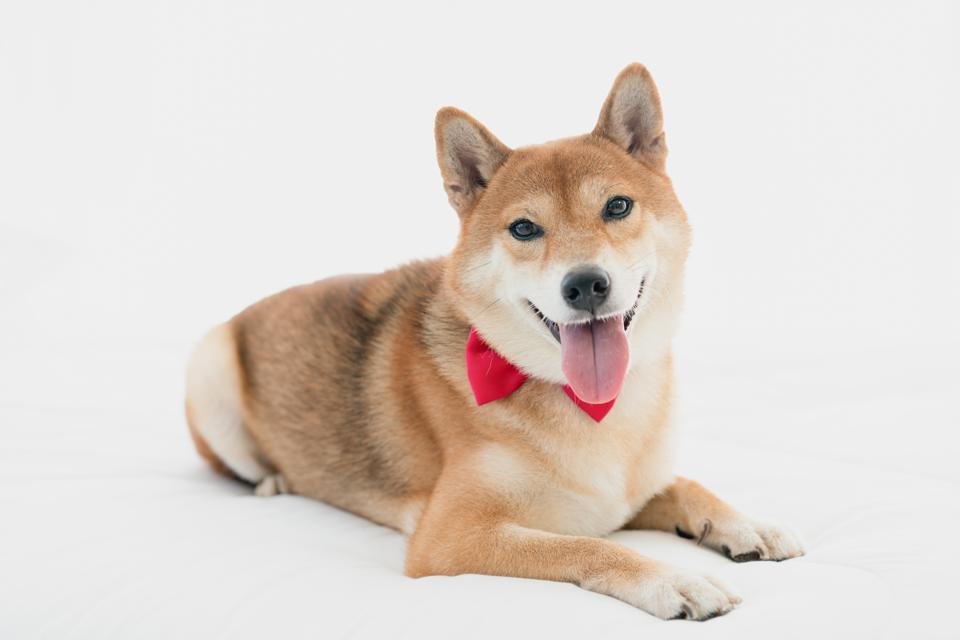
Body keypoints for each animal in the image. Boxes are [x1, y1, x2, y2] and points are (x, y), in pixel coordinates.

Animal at [186, 63, 804, 620]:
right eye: (524, 228)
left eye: (618, 206)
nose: (585, 284)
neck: (592, 406)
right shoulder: (451, 535)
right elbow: (589, 546)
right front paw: (671, 578)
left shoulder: (632, 490)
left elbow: (689, 487)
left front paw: (747, 524)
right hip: (210, 366)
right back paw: (272, 480)